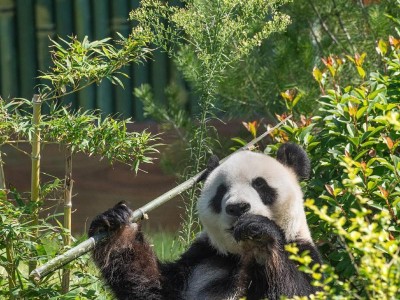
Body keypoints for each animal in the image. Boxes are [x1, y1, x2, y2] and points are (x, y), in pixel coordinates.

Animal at [88, 144, 322, 300]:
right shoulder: (202, 259)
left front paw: (259, 234)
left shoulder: (302, 252)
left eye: (260, 185)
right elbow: (154, 288)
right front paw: (117, 228)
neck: (240, 255)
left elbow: (298, 291)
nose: (238, 207)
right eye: (221, 191)